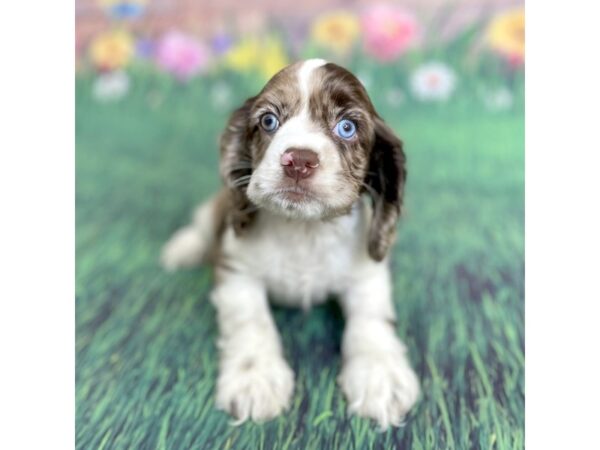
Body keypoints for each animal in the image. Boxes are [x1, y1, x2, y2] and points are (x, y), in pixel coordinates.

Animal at [162, 58, 420, 428]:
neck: (305, 229)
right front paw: (255, 380)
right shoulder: (236, 270)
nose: (298, 160)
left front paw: (380, 376)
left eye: (347, 127)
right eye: (268, 121)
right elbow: (251, 321)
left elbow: (371, 320)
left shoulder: (367, 275)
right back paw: (182, 248)